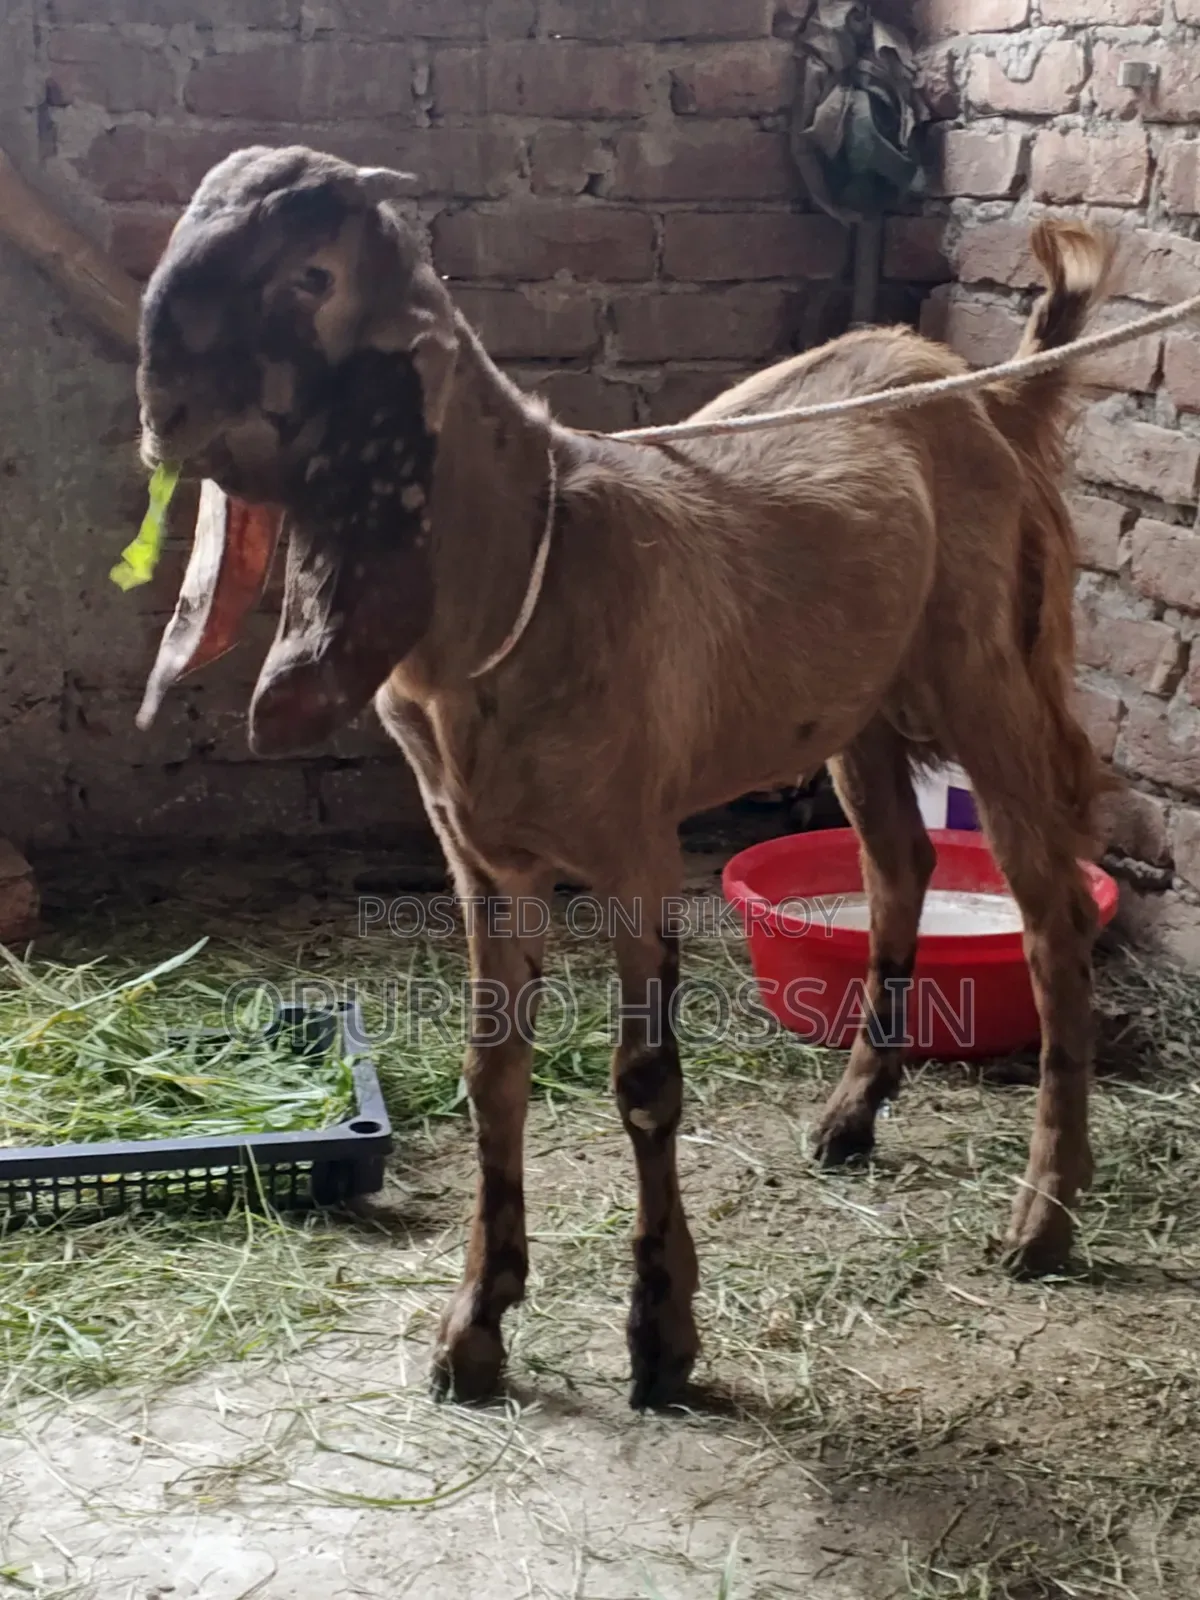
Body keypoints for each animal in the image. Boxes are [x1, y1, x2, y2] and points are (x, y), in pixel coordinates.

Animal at [135, 145, 1114, 1410]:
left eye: (312, 275)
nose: (163, 410)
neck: (528, 579)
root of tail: (986, 390)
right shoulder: (481, 855)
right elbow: (492, 1067)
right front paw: (476, 1326)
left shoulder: (635, 847)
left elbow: (644, 1078)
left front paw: (661, 1336)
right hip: (857, 701)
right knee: (898, 864)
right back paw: (851, 1115)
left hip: (987, 670)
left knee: (1049, 909)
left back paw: (1042, 1216)